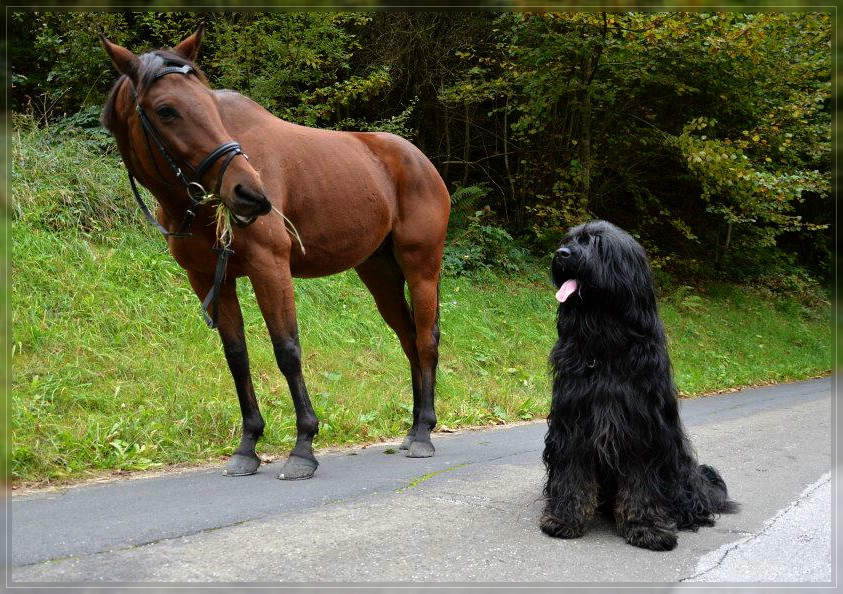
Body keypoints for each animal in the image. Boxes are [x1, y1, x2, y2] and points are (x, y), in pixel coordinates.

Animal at [99, 26, 452, 480]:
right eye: (165, 110)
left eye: (210, 105)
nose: (250, 194)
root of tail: (421, 161)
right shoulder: (210, 279)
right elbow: (237, 357)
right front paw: (247, 446)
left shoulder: (270, 267)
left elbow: (287, 350)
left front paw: (303, 447)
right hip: (380, 275)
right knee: (408, 339)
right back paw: (412, 429)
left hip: (421, 268)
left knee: (426, 340)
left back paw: (424, 433)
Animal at [540, 220, 740, 548]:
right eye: (570, 240)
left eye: (596, 244)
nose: (561, 254)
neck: (605, 345)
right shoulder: (572, 423)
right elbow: (573, 473)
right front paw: (564, 518)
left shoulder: (642, 430)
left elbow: (642, 482)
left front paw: (646, 526)